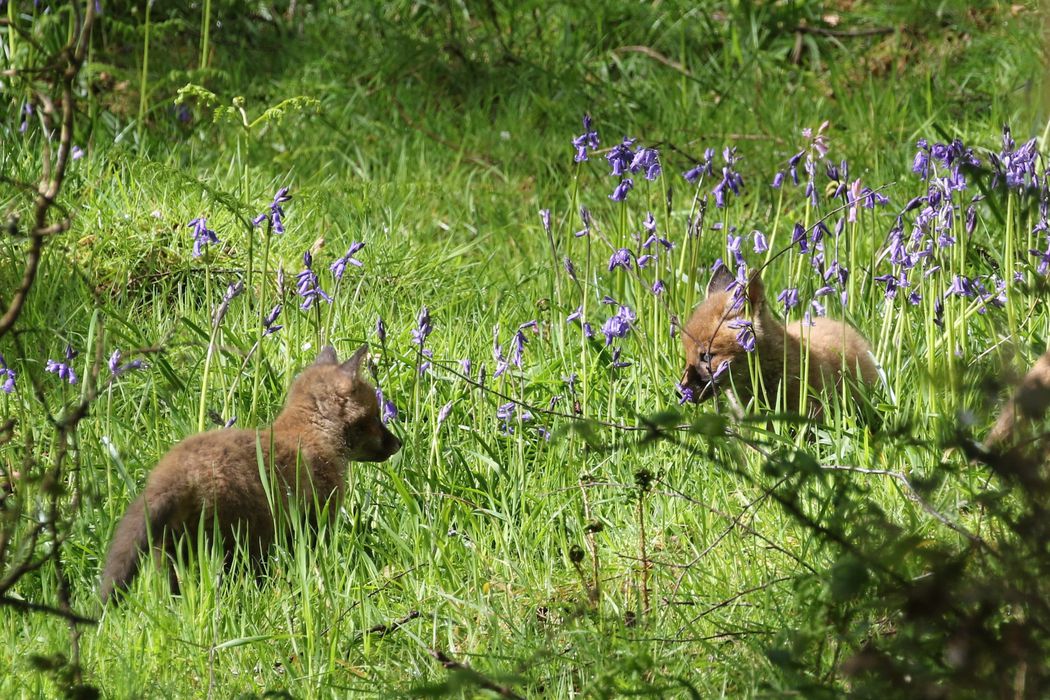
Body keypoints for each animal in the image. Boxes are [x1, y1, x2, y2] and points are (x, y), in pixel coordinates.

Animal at [99, 344, 401, 604]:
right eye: (375, 417)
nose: (399, 443)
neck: (312, 434)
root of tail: (172, 474)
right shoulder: (316, 518)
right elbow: (316, 555)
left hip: (173, 553)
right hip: (239, 542)